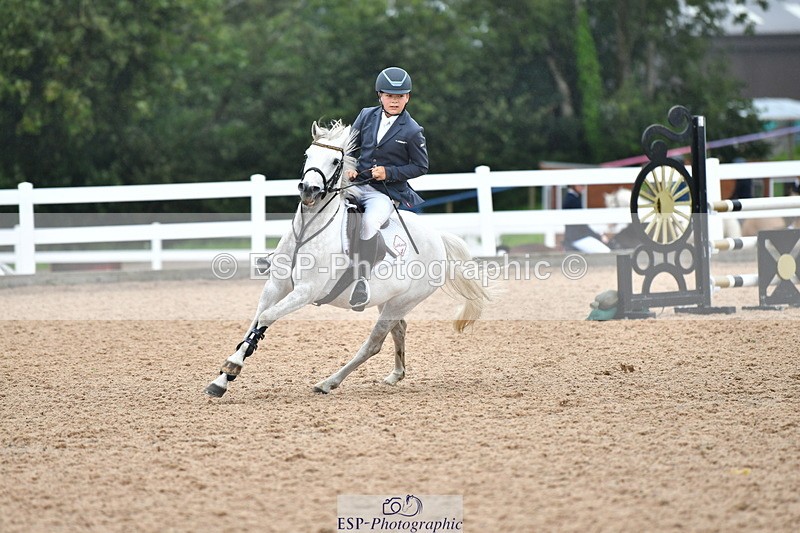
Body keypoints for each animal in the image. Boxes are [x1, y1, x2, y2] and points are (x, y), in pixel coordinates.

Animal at [204, 120, 491, 396]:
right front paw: (222, 379)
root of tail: (438, 237)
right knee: (399, 329)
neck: (308, 229)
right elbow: (256, 320)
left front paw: (232, 367)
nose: (308, 190)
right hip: (389, 300)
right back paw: (395, 375)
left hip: (404, 301)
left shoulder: (305, 291)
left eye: (334, 161)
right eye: (307, 155)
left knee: (374, 343)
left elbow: (266, 317)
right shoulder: (276, 285)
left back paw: (328, 383)